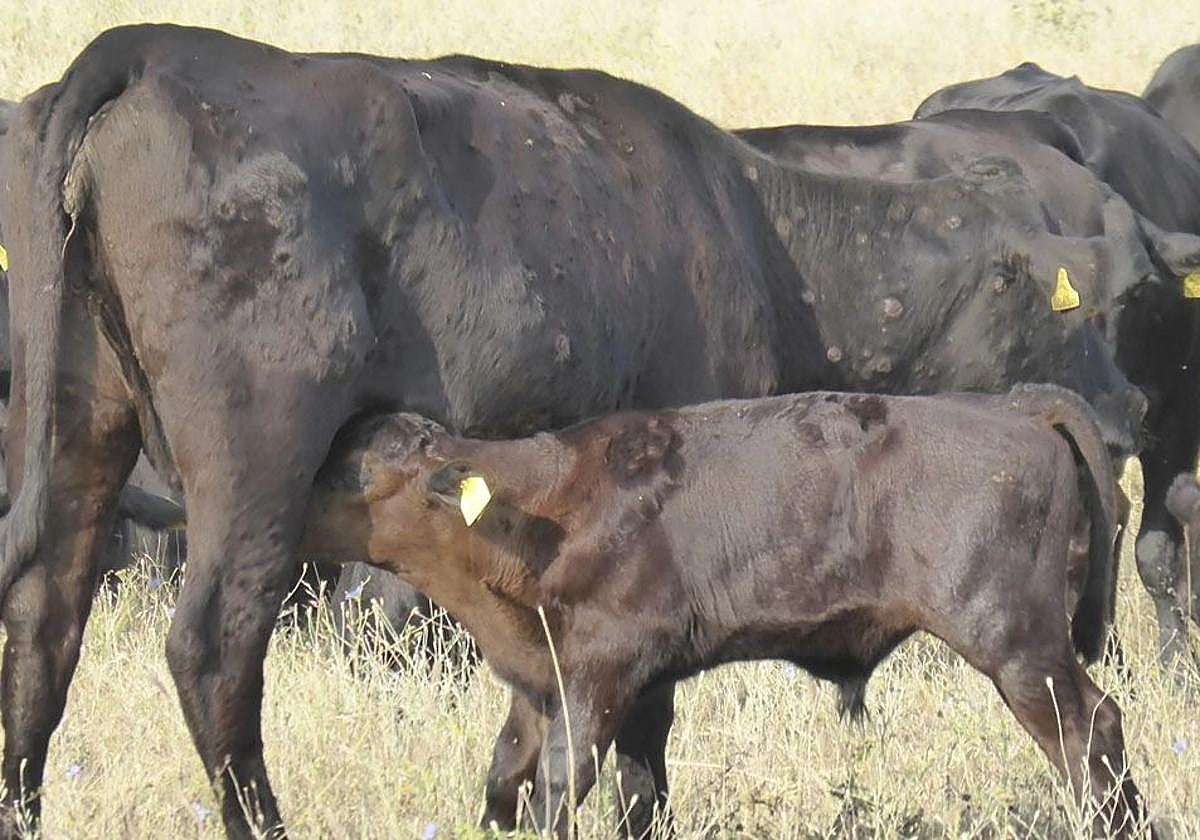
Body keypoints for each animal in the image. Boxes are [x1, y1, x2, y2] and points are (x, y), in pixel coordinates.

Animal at [302, 385, 1146, 838]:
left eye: (354, 473)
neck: (539, 505)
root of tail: (1013, 405)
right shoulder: (551, 684)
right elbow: (528, 782)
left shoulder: (601, 676)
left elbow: (560, 785)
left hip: (1017, 646)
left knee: (1089, 733)